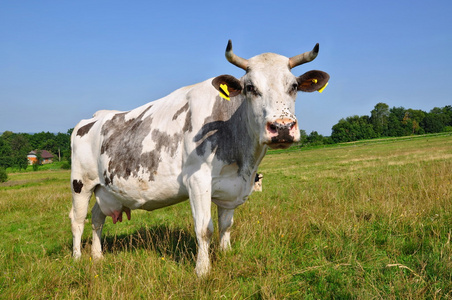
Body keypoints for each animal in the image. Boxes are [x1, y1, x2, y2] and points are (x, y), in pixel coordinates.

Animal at [69, 39, 328, 276]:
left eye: (294, 86)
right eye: (250, 87)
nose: (282, 127)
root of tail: (94, 117)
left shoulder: (231, 186)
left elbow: (226, 225)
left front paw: (226, 254)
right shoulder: (197, 180)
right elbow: (205, 229)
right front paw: (203, 270)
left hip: (105, 188)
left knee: (97, 219)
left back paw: (97, 256)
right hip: (81, 184)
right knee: (77, 220)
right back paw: (78, 258)